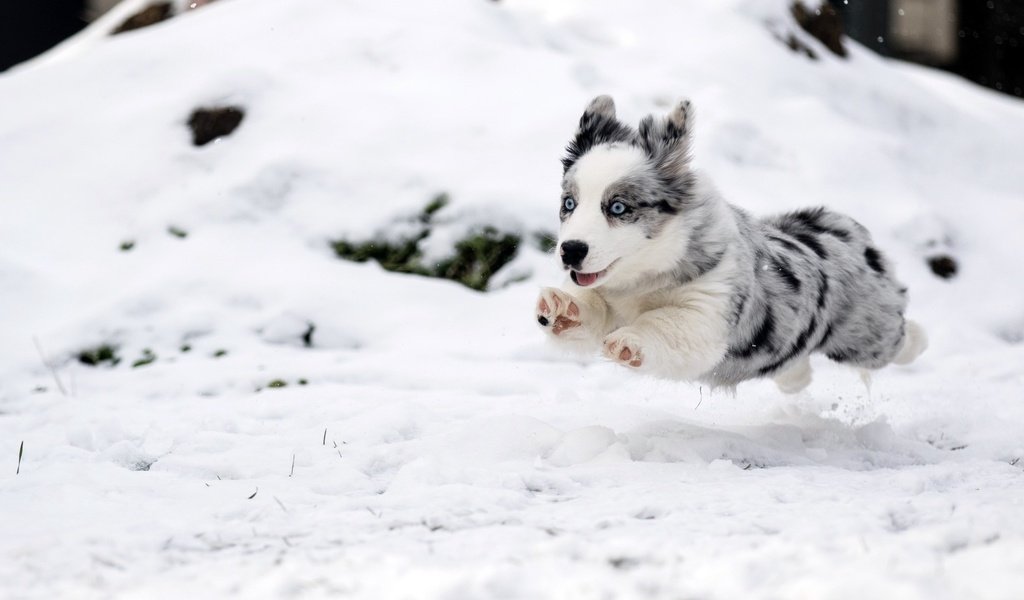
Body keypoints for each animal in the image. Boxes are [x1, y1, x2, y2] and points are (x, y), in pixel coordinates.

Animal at [536, 95, 929, 389]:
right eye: (569, 204)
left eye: (618, 207)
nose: (570, 251)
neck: (643, 278)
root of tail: (843, 228)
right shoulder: (607, 297)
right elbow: (591, 310)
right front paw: (562, 308)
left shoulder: (707, 313)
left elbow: (665, 322)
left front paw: (629, 341)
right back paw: (795, 381)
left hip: (868, 334)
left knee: (898, 338)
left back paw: (920, 339)